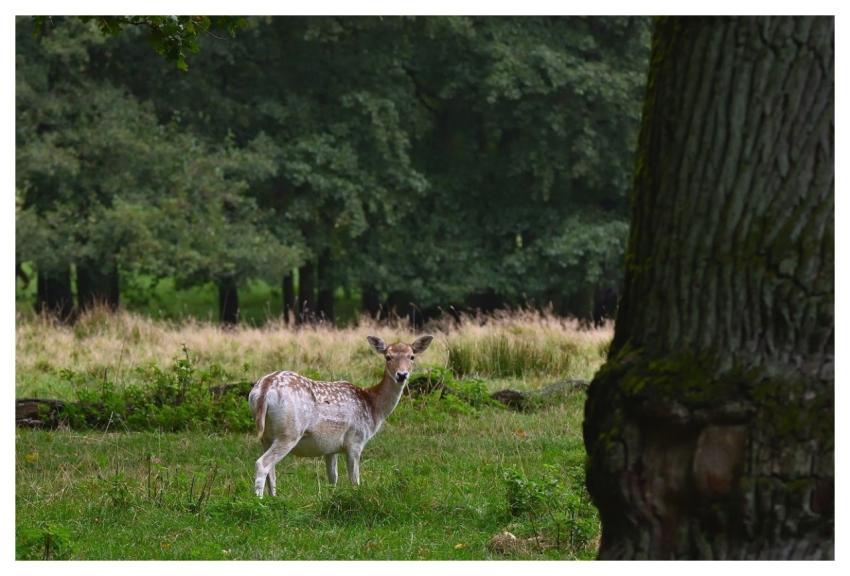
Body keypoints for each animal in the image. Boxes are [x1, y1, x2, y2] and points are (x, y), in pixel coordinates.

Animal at [247, 334, 434, 497]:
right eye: (388, 356)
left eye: (412, 356)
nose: (402, 375)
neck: (373, 405)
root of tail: (264, 389)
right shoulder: (356, 440)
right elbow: (355, 480)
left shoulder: (330, 447)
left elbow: (333, 478)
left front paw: (331, 498)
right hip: (290, 431)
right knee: (262, 464)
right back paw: (259, 501)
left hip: (266, 436)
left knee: (271, 470)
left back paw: (274, 498)